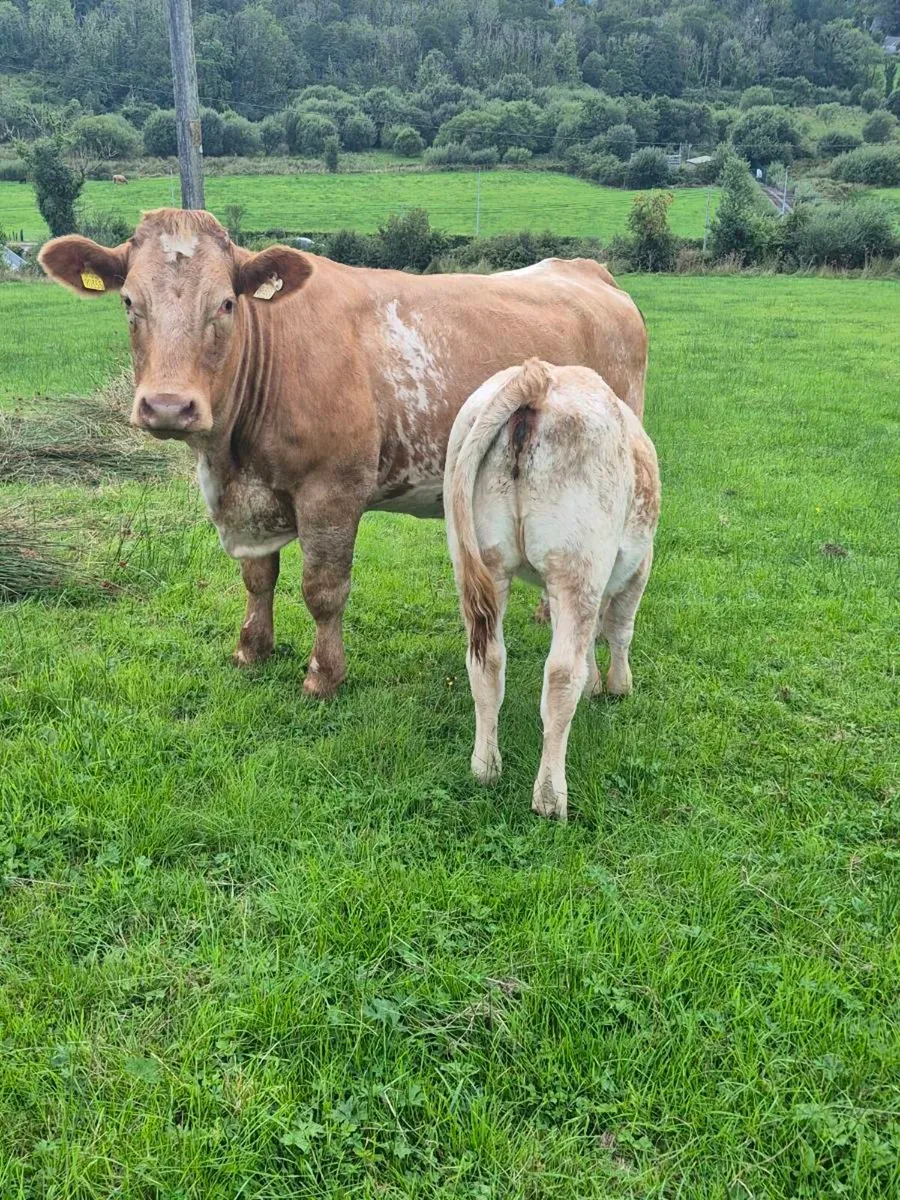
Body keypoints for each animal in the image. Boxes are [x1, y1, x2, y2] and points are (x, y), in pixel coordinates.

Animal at [38, 208, 648, 699]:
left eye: (227, 303)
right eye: (128, 302)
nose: (167, 406)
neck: (230, 461)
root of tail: (585, 268)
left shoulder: (332, 490)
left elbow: (323, 590)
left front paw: (323, 676)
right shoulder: (252, 497)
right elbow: (257, 577)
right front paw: (251, 648)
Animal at [445, 359, 660, 822]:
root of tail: (538, 376)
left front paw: (597, 682)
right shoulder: (639, 567)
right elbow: (619, 628)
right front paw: (618, 685)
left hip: (484, 563)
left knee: (487, 661)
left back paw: (485, 767)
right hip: (576, 565)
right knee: (561, 675)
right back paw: (549, 797)